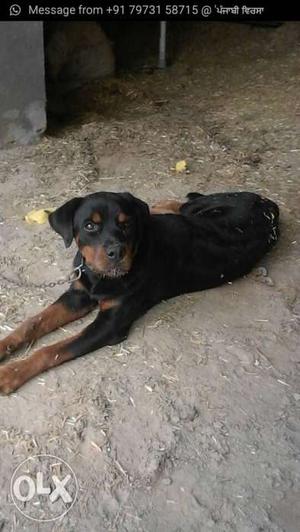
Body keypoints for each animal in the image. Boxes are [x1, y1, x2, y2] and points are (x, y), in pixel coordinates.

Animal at [0, 193, 278, 392]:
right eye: (90, 225)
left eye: (126, 225)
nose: (116, 252)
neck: (99, 277)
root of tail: (268, 203)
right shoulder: (77, 295)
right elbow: (32, 323)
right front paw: (5, 346)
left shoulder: (110, 325)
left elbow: (53, 349)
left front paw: (11, 373)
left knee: (181, 204)